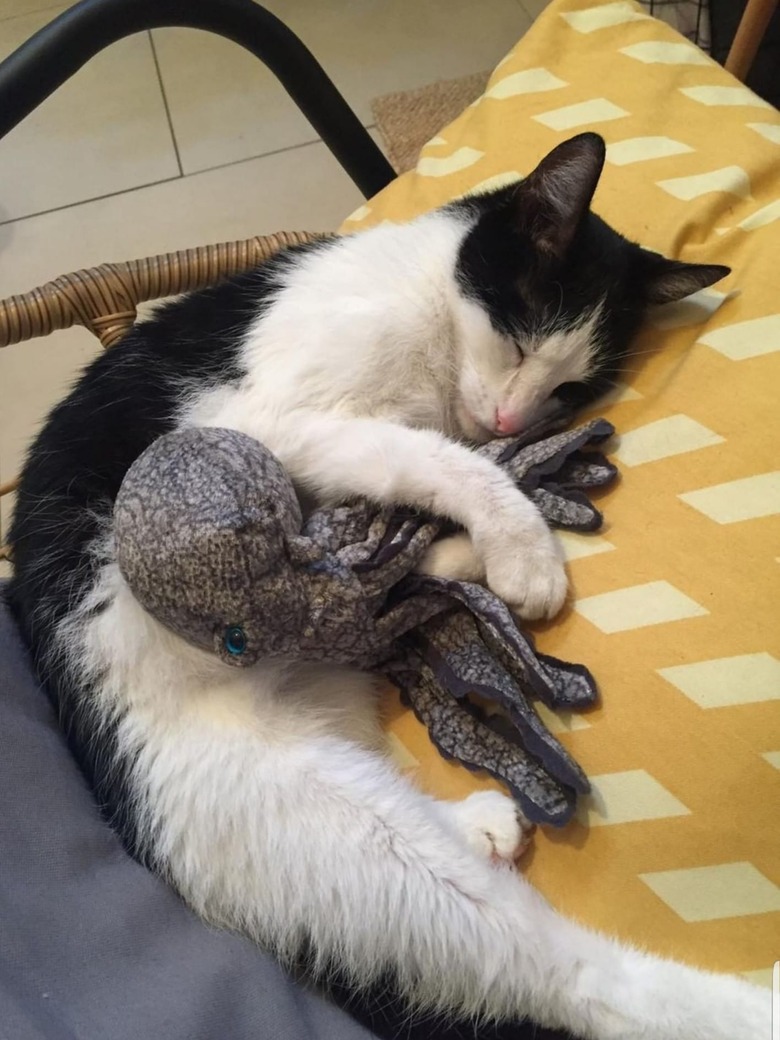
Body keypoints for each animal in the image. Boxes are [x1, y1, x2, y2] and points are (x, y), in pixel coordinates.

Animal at [7, 134, 769, 1035]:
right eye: (519, 342)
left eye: (570, 391)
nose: (513, 422)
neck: (429, 305)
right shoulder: (273, 420)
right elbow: (436, 458)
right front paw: (521, 544)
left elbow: (411, 495)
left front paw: (465, 546)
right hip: (336, 840)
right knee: (564, 974)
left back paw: (477, 819)